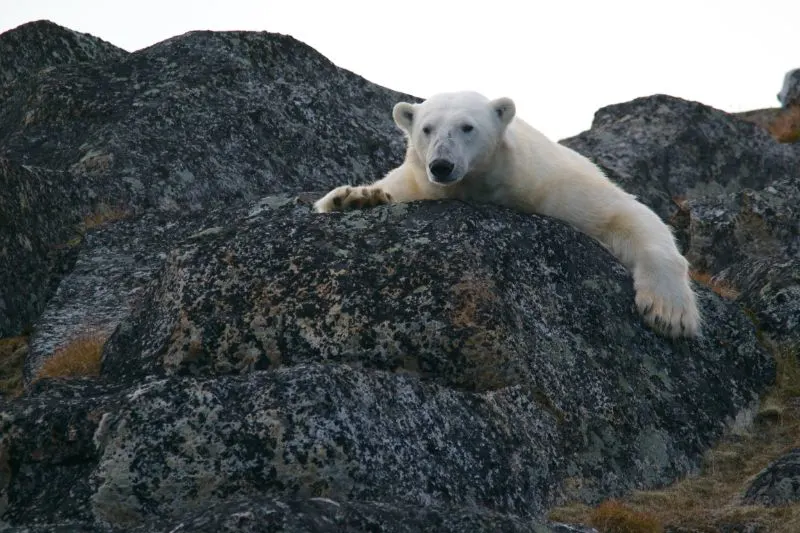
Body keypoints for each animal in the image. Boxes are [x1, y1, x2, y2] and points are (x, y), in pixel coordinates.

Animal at [312, 89, 700, 334]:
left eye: (467, 127)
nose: (441, 165)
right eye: (426, 128)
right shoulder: (418, 181)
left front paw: (669, 313)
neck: (483, 184)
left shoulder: (549, 183)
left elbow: (624, 213)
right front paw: (355, 197)